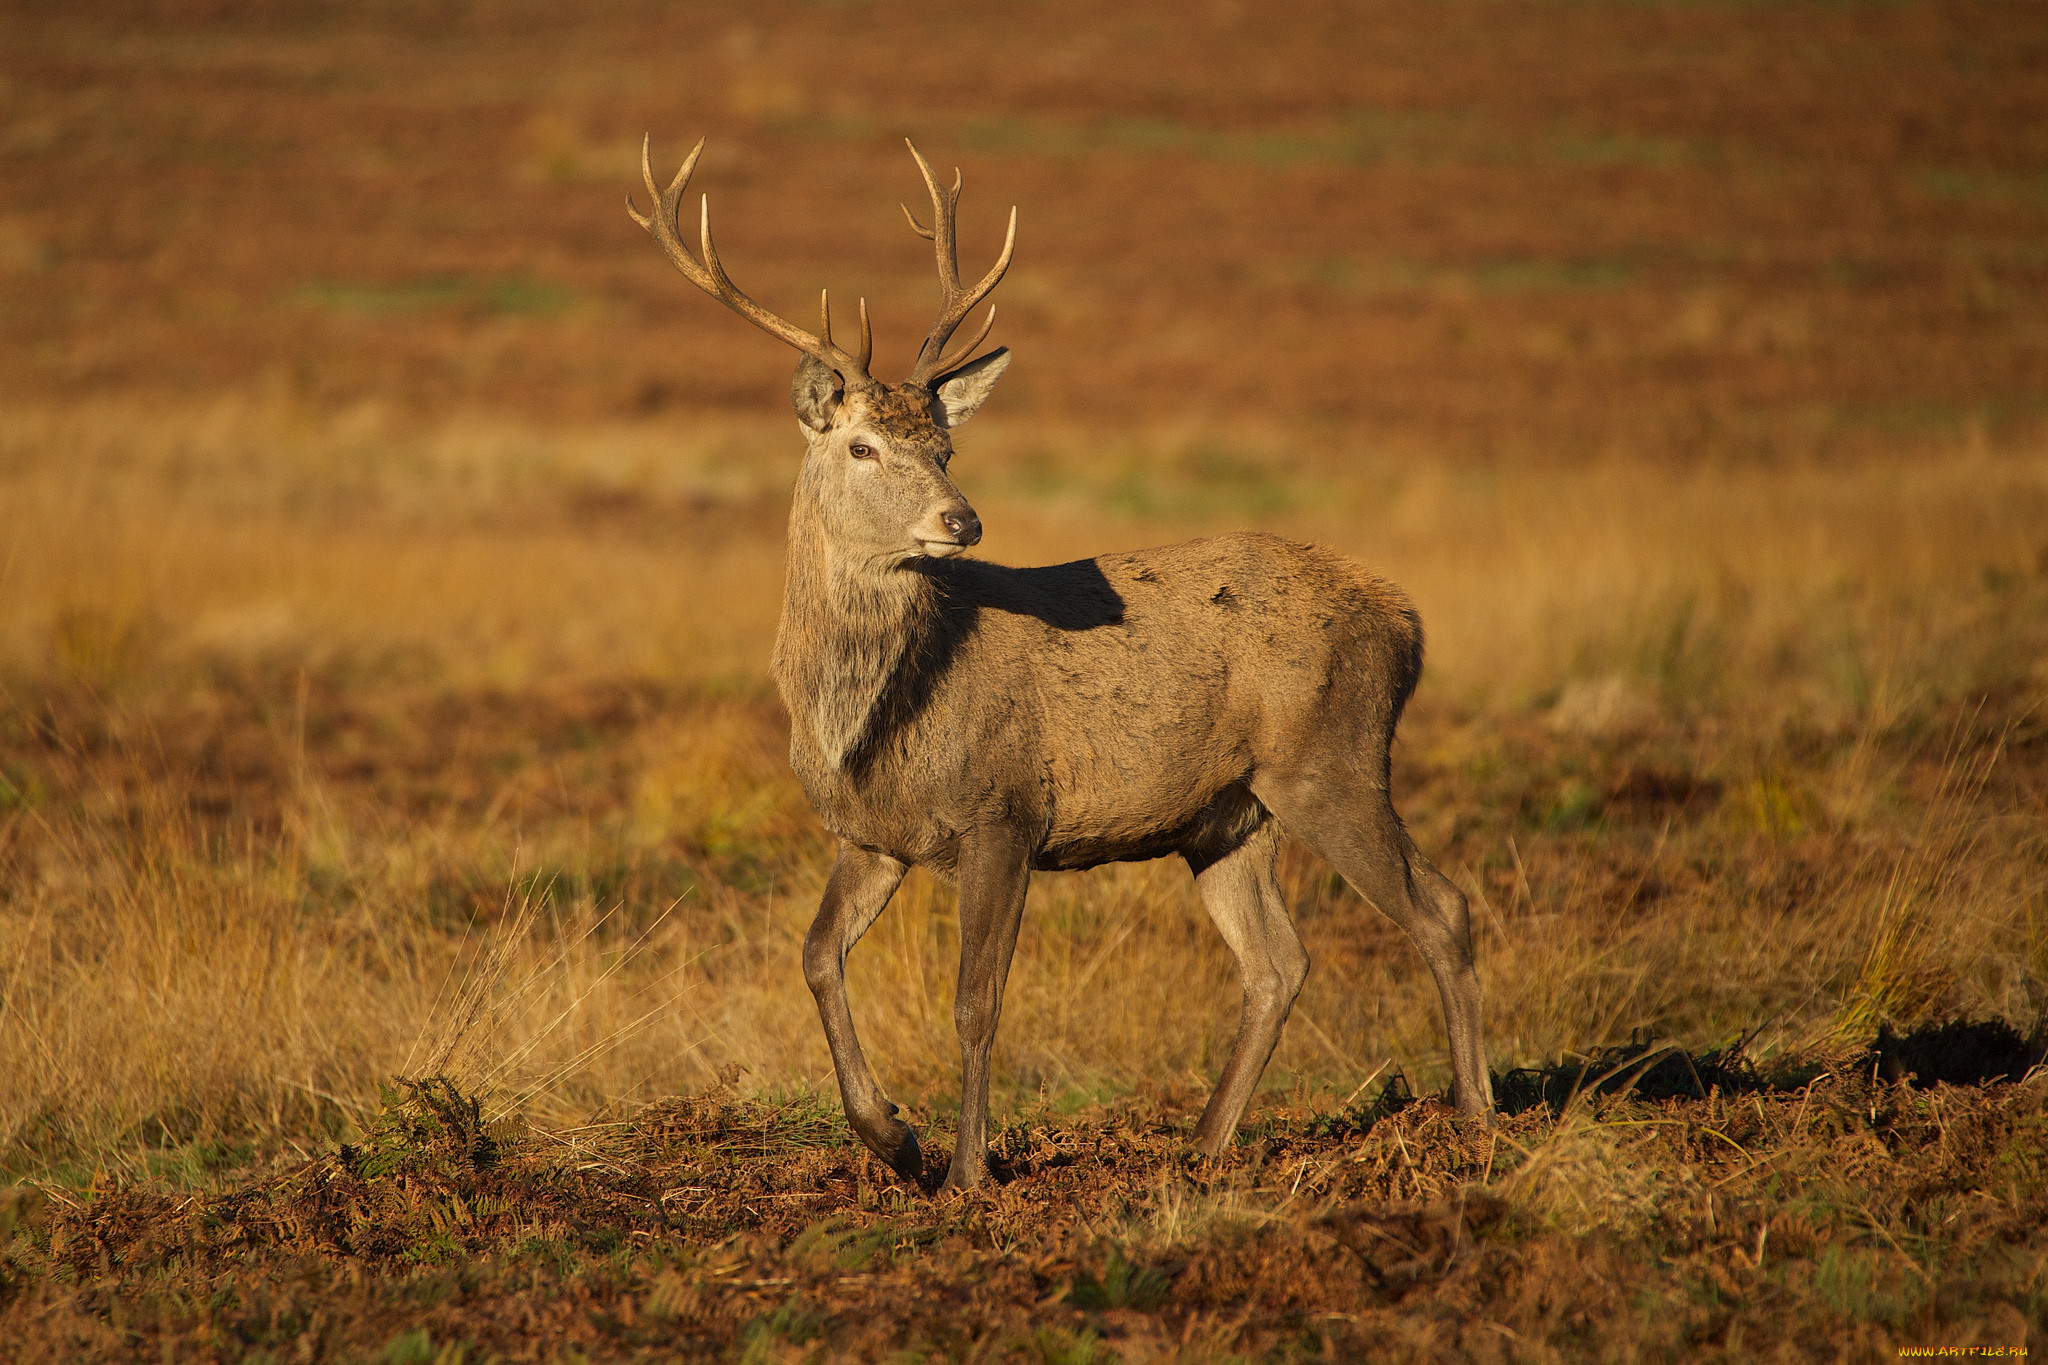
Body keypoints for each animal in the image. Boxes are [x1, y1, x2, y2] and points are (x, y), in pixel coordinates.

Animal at [622, 133, 1490, 1186]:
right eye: (863, 445)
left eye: (946, 445)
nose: (963, 520)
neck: (874, 717)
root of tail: (1408, 620)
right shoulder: (871, 835)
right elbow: (816, 953)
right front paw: (894, 1138)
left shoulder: (1004, 809)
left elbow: (975, 1001)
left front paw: (966, 1172)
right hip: (1228, 814)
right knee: (1278, 960)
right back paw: (1200, 1148)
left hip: (1332, 760)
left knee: (1441, 907)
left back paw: (1478, 1120)